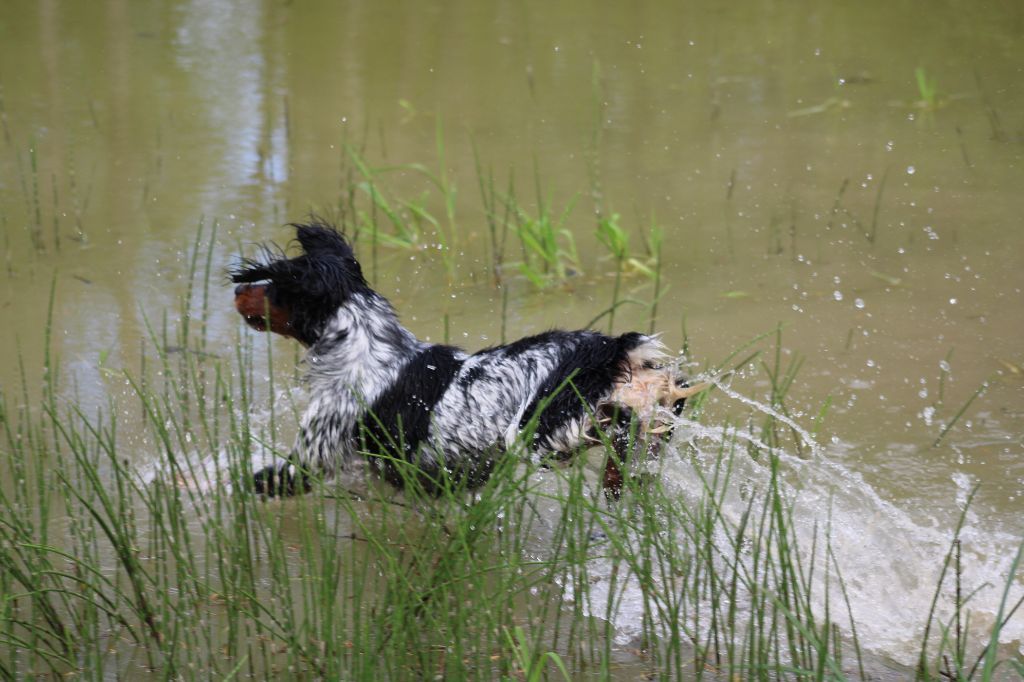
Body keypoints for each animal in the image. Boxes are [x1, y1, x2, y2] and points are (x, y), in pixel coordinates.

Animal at [229, 222, 700, 493]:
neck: (366, 345)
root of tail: (607, 348)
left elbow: (268, 479)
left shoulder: (315, 454)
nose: (237, 290)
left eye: (273, 283)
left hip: (540, 432)